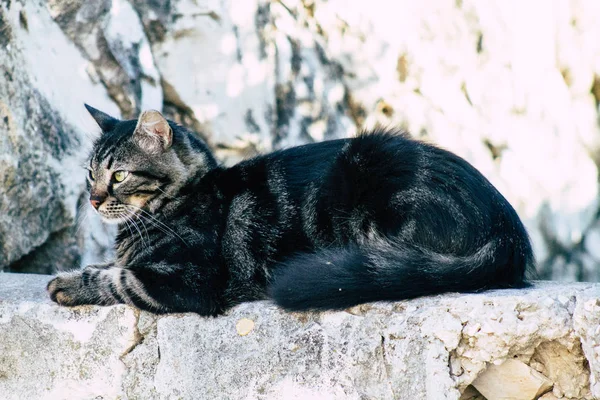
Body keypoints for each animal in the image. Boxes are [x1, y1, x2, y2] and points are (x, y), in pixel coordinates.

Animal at [48, 104, 536, 314]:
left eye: (118, 176)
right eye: (89, 174)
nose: (93, 199)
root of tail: (507, 230)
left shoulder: (191, 281)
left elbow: (121, 279)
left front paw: (68, 283)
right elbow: (113, 266)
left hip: (368, 181)